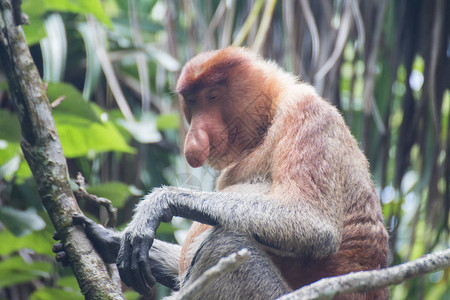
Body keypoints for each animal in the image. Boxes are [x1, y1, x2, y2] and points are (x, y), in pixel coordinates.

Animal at [53, 47, 390, 300]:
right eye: (192, 101)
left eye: (213, 96)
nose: (194, 139)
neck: (268, 120)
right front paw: (104, 238)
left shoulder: (306, 115)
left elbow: (314, 224)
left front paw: (155, 206)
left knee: (228, 242)